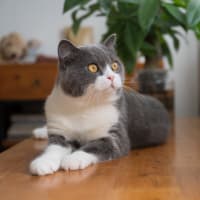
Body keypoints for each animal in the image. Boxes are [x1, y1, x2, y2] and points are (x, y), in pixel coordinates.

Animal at [29, 34, 170, 175]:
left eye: (115, 65)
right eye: (93, 67)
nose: (111, 77)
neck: (83, 106)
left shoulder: (116, 134)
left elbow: (95, 146)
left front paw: (72, 159)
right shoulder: (59, 128)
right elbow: (54, 146)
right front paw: (43, 162)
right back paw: (41, 131)